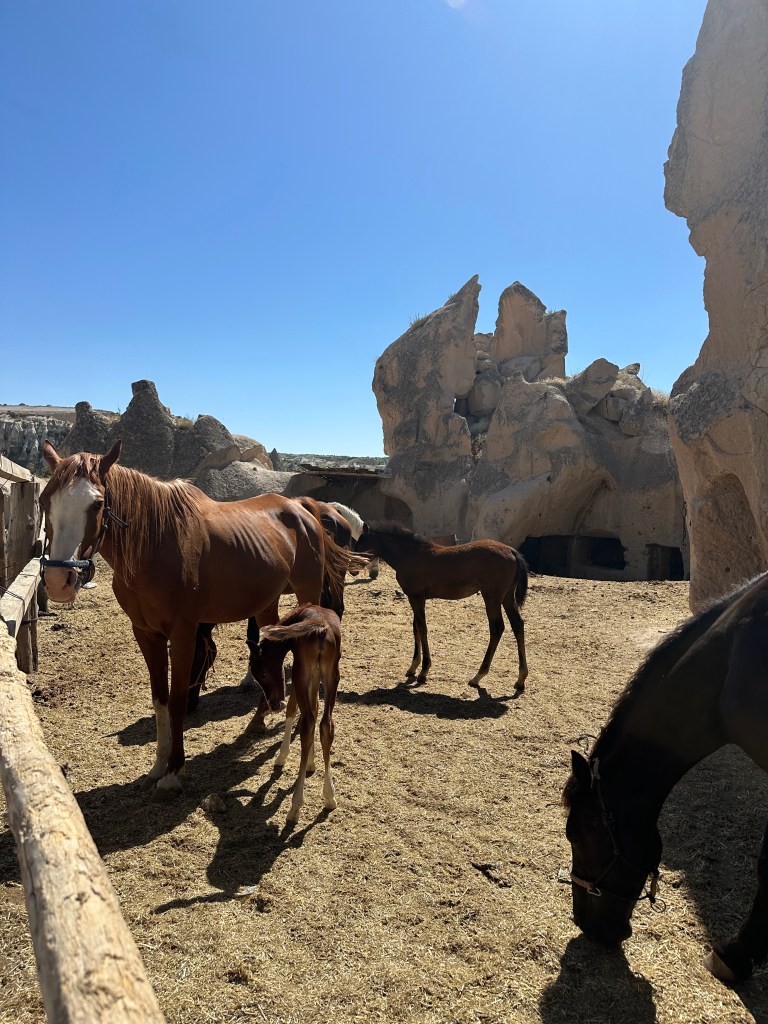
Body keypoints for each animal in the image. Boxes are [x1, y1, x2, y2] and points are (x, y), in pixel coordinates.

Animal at [39, 441, 350, 799]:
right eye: (44, 499)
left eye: (98, 503)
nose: (58, 580)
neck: (156, 545)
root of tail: (301, 507)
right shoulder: (146, 633)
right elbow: (159, 698)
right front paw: (158, 766)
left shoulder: (184, 633)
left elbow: (175, 700)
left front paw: (173, 771)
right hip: (266, 605)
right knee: (269, 657)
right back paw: (258, 719)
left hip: (306, 594)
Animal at [251, 603, 342, 823]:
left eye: (262, 673)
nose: (274, 704)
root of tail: (321, 628)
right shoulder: (317, 675)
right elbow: (315, 708)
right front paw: (311, 762)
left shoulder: (302, 672)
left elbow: (293, 709)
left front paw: (282, 757)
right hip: (331, 675)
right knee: (325, 724)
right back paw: (329, 797)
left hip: (301, 672)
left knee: (308, 723)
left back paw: (295, 807)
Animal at [357, 522, 529, 690]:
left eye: (360, 544)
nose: (353, 568)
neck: (409, 555)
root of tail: (512, 551)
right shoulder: (415, 598)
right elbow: (416, 628)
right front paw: (413, 668)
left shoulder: (416, 597)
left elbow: (422, 628)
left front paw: (423, 671)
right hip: (506, 597)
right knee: (518, 625)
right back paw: (520, 680)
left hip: (492, 597)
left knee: (497, 628)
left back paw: (478, 676)